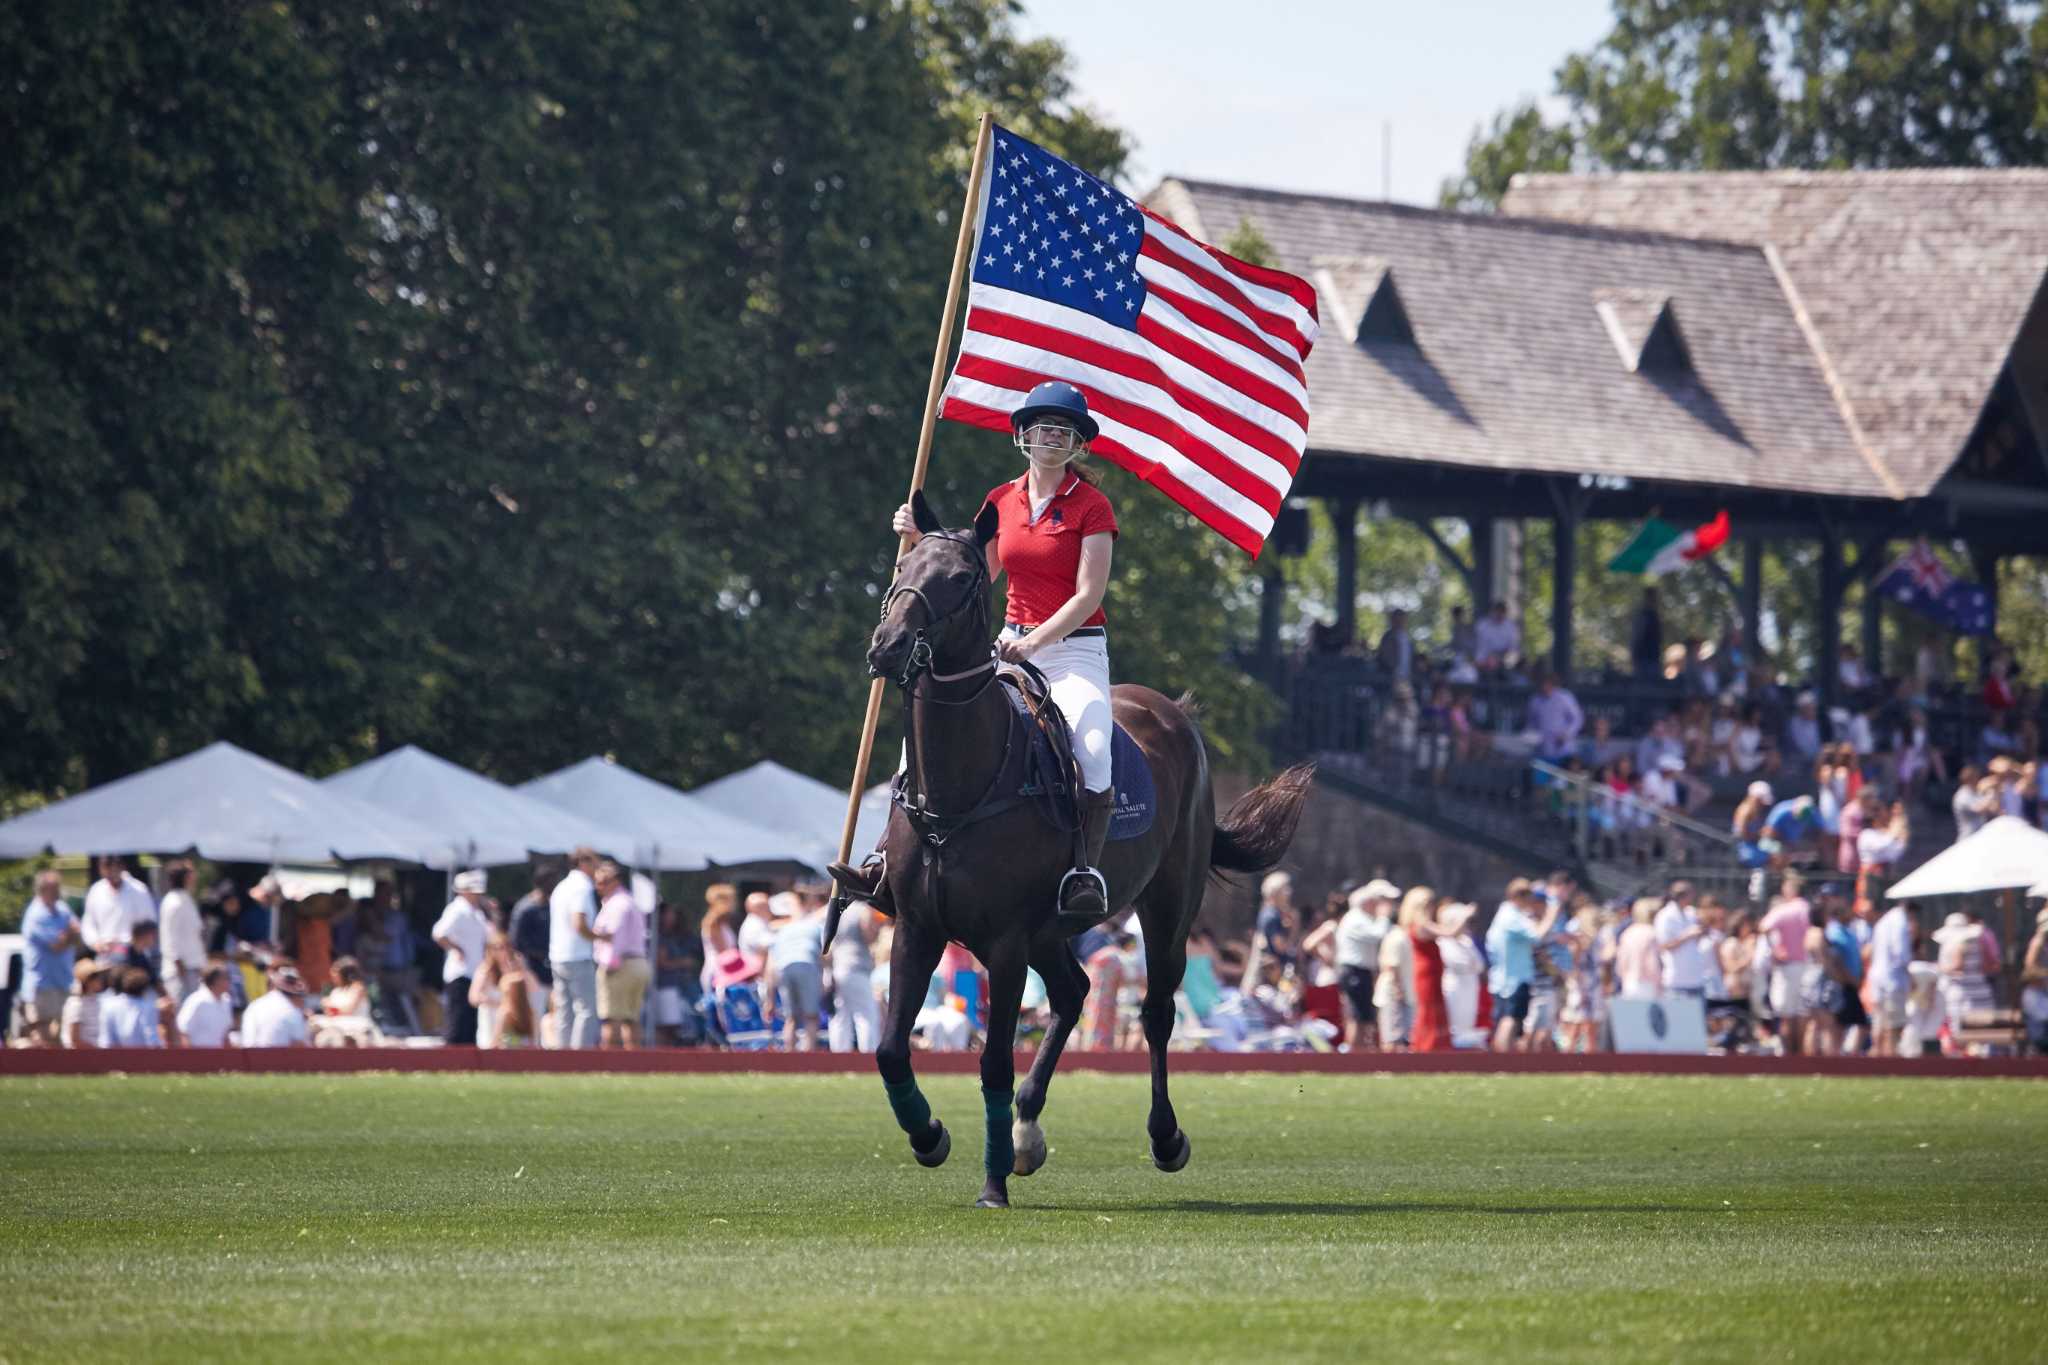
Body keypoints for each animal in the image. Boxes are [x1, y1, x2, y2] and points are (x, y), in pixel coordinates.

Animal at [847, 491, 1310, 1203]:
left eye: (964, 578)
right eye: (903, 567)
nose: (889, 646)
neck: (961, 786)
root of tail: (1172, 711)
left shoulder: (1006, 940)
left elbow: (992, 1061)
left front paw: (991, 1186)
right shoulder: (917, 928)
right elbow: (891, 1047)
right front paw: (930, 1138)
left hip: (1167, 906)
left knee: (1154, 1012)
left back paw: (1163, 1138)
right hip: (1051, 929)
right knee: (1074, 991)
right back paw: (1026, 1132)